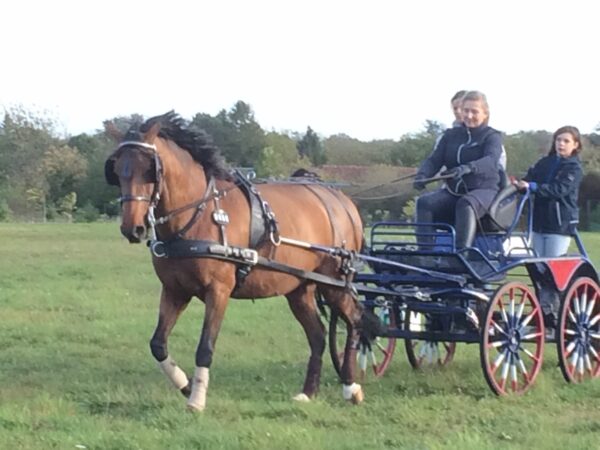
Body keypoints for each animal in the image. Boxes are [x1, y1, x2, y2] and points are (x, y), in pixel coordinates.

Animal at [105, 112, 372, 412]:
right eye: (117, 171)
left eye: (149, 170)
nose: (133, 228)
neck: (198, 216)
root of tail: (342, 200)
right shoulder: (175, 291)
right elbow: (158, 344)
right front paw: (186, 385)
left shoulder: (218, 291)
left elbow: (205, 347)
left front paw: (196, 400)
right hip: (299, 288)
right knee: (317, 334)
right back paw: (308, 392)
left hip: (334, 282)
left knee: (355, 320)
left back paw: (351, 387)